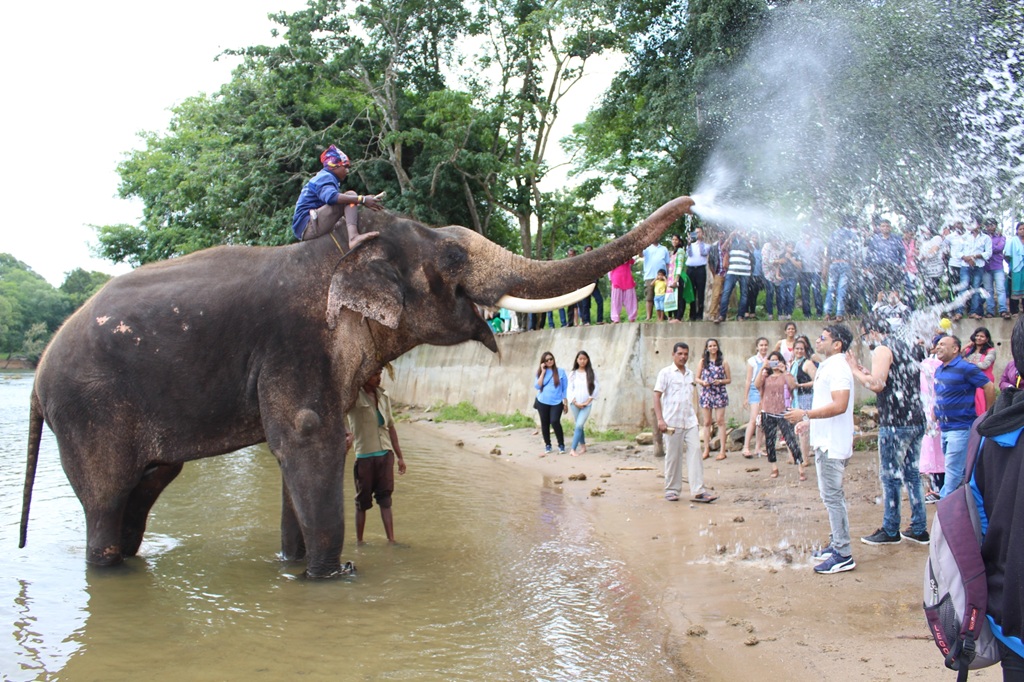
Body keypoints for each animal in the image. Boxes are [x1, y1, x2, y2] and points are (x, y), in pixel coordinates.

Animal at [22, 193, 696, 577]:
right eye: (453, 257)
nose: (693, 203)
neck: (342, 250)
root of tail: (35, 374)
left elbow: (301, 456)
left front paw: (292, 566)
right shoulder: (299, 343)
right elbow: (310, 438)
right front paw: (332, 575)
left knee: (146, 488)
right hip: (88, 413)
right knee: (108, 500)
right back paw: (107, 571)